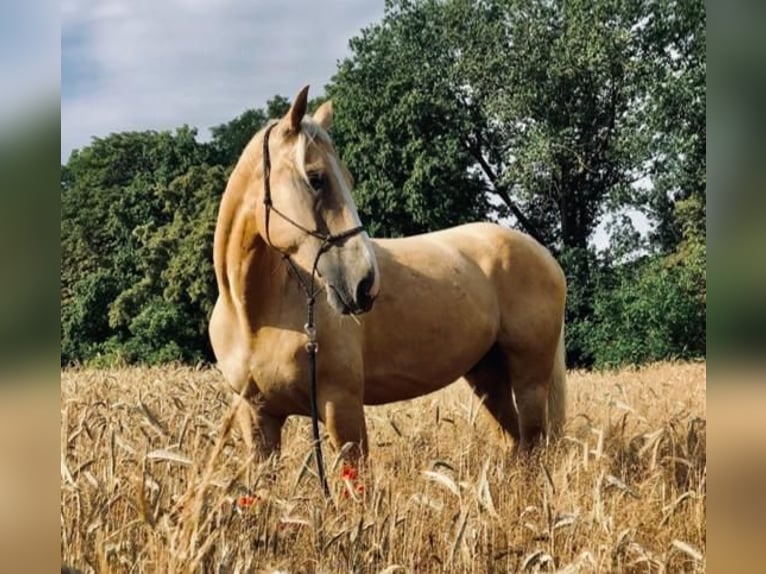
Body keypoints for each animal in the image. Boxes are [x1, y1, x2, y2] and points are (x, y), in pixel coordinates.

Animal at [210, 85, 568, 480]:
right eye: (316, 178)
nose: (364, 283)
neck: (254, 316)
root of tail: (544, 254)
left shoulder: (341, 407)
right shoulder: (258, 419)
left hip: (530, 379)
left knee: (532, 444)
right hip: (488, 377)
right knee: (515, 442)